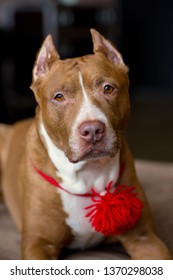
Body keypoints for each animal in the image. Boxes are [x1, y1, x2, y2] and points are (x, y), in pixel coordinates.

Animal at [0, 29, 172, 260]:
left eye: (107, 88)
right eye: (59, 96)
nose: (92, 131)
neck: (87, 173)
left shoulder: (144, 238)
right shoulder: (38, 244)